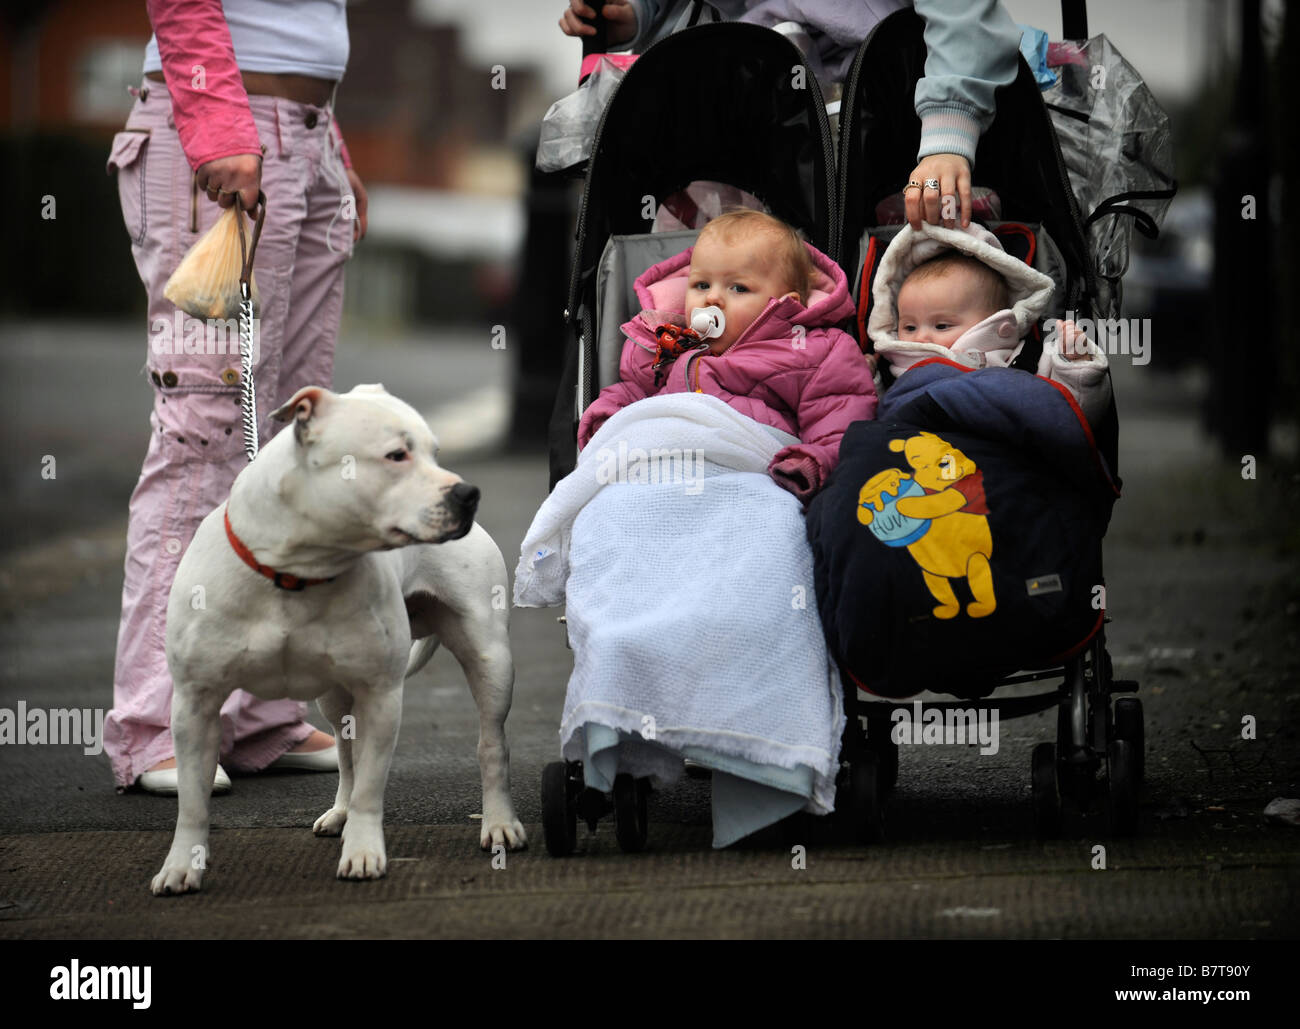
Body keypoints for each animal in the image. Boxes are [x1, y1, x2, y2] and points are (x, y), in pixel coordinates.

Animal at [156, 381, 527, 893]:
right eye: (396, 455)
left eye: (434, 452)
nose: (467, 492)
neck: (298, 571)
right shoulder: (195, 704)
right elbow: (192, 802)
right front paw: (180, 866)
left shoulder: (381, 694)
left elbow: (373, 788)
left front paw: (365, 852)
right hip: (333, 696)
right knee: (347, 755)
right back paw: (340, 813)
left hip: (490, 659)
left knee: (492, 743)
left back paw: (499, 823)